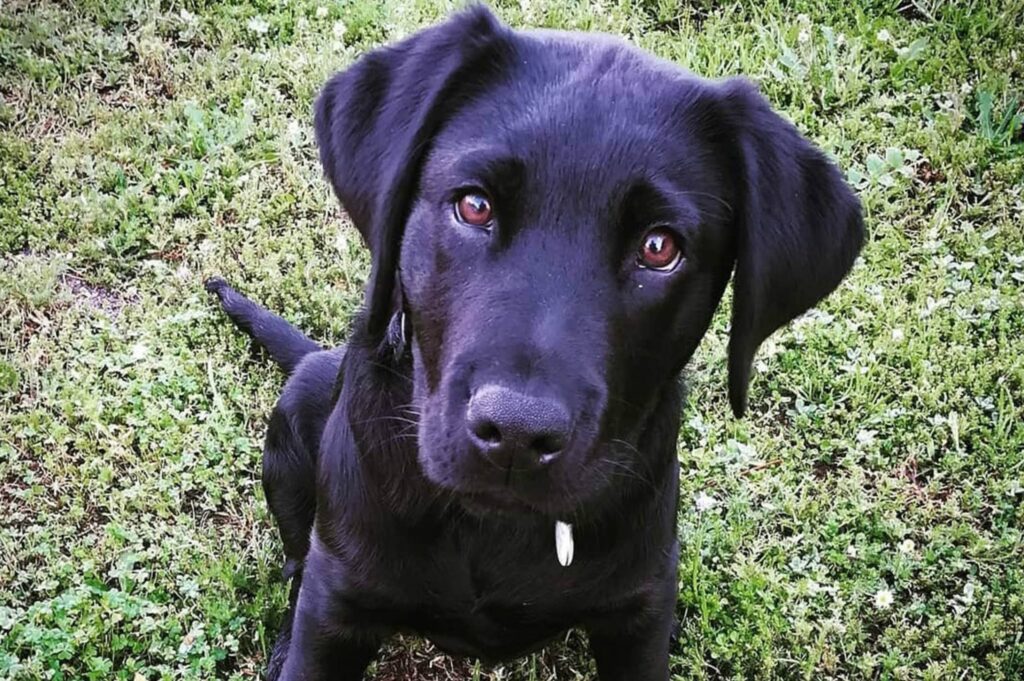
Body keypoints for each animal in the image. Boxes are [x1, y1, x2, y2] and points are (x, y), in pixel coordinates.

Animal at [207, 6, 864, 679]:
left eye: (660, 248)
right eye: (474, 205)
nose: (517, 435)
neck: (493, 528)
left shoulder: (638, 616)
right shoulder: (339, 601)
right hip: (298, 418)